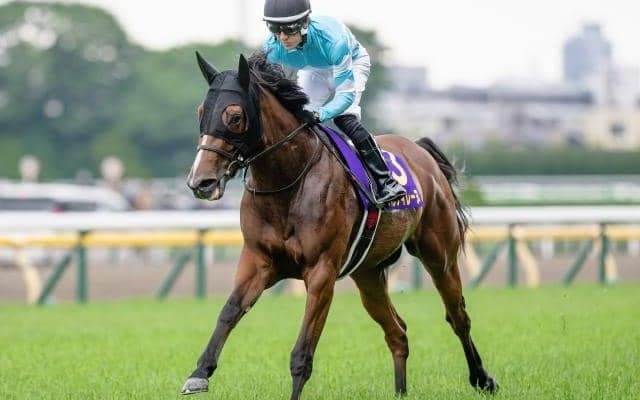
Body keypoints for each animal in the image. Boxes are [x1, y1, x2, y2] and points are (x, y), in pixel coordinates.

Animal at [183, 50, 498, 399]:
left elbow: (302, 354)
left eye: (235, 117)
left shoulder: (321, 272)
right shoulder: (258, 261)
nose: (201, 182)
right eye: (201, 113)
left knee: (458, 317)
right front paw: (199, 374)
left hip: (439, 256)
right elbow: (229, 311)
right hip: (368, 274)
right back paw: (401, 391)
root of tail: (420, 152)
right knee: (397, 332)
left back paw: (483, 378)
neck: (288, 184)